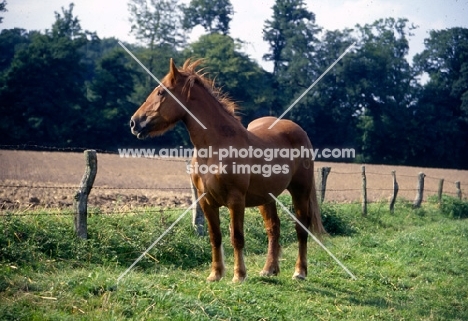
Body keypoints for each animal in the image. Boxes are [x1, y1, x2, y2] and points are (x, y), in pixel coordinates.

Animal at [128, 59, 326, 280]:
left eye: (161, 92)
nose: (134, 123)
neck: (216, 146)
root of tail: (298, 130)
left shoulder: (235, 200)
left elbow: (237, 237)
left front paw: (239, 275)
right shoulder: (206, 202)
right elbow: (215, 237)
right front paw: (215, 274)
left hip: (300, 191)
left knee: (301, 228)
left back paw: (300, 272)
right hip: (267, 198)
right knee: (273, 228)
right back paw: (269, 269)